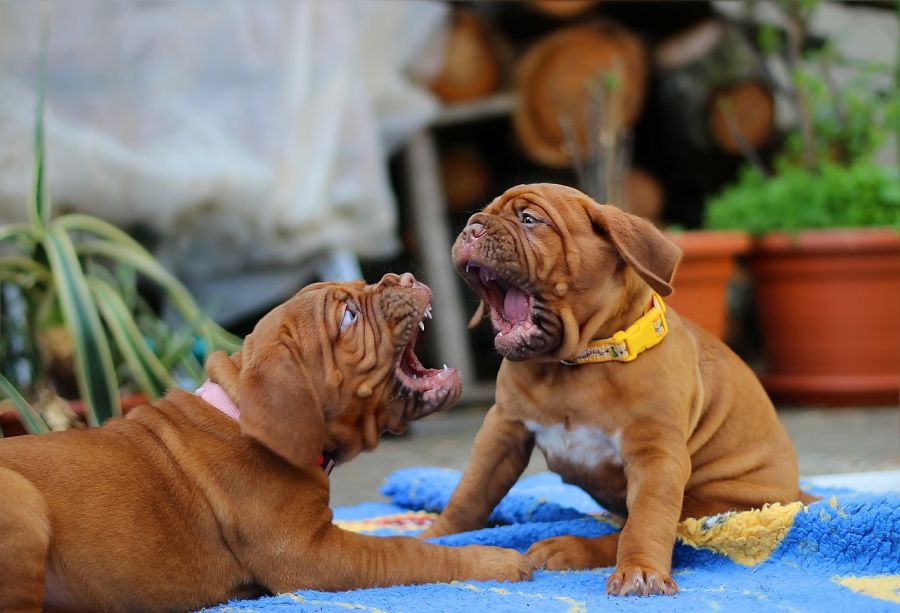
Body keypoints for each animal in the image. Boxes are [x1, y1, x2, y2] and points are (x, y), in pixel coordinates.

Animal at [0, 274, 532, 612]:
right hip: (21, 501)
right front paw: (495, 561)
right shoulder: (311, 556)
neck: (242, 413)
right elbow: (408, 553)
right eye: (348, 316)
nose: (403, 274)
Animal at [422, 184, 816, 596]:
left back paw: (569, 548)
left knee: (657, 530)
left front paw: (640, 570)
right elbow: (470, 491)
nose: (472, 228)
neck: (575, 364)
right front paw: (436, 537)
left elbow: (647, 520)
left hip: (714, 500)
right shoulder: (503, 429)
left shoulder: (655, 453)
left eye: (529, 219)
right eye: (480, 215)